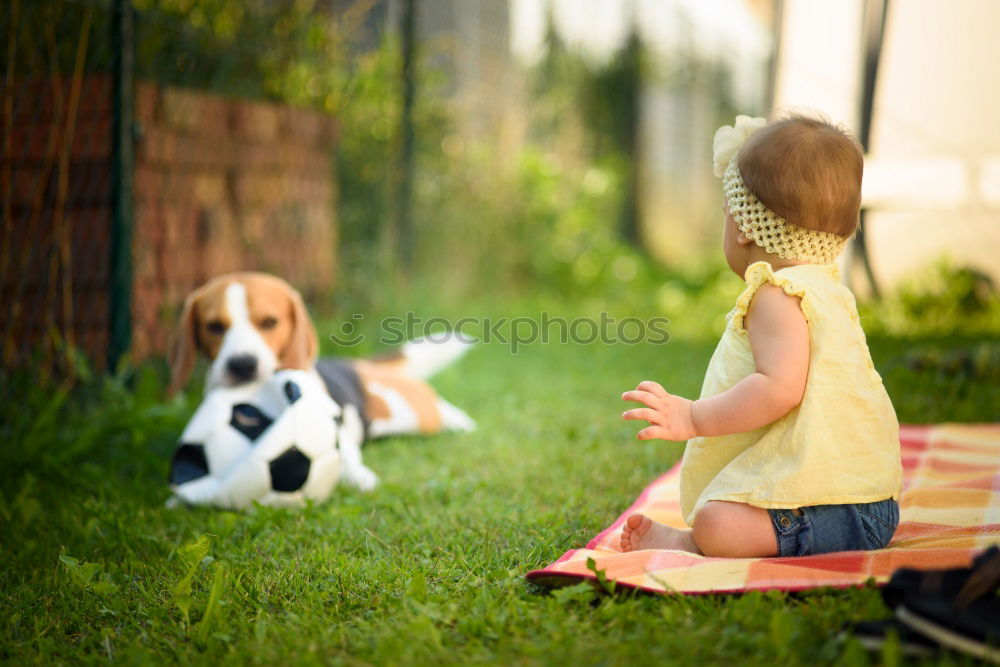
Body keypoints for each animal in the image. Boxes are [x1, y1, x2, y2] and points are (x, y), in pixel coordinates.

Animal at [167, 272, 472, 490]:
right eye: (214, 326)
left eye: (269, 322)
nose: (242, 364)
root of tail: (354, 363)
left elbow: (346, 451)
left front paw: (358, 476)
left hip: (404, 409)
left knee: (433, 406)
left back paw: (461, 422)